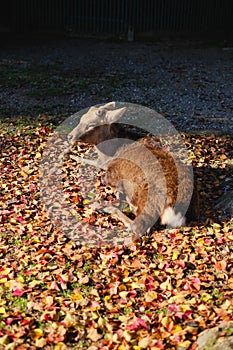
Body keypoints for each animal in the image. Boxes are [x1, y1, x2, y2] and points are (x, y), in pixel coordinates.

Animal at [68, 102, 199, 237]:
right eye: (81, 118)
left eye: (92, 125)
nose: (69, 136)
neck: (111, 153)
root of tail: (176, 210)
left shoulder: (111, 172)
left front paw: (73, 155)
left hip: (148, 199)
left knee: (138, 226)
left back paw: (103, 206)